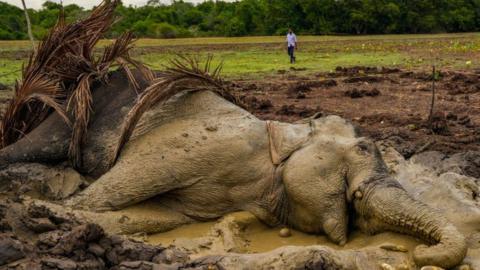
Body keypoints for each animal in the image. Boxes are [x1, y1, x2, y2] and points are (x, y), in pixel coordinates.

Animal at [0, 69, 466, 268]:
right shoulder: (204, 146)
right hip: (69, 113)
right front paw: (59, 208)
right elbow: (105, 197)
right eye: (365, 147)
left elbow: (155, 216)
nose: (419, 255)